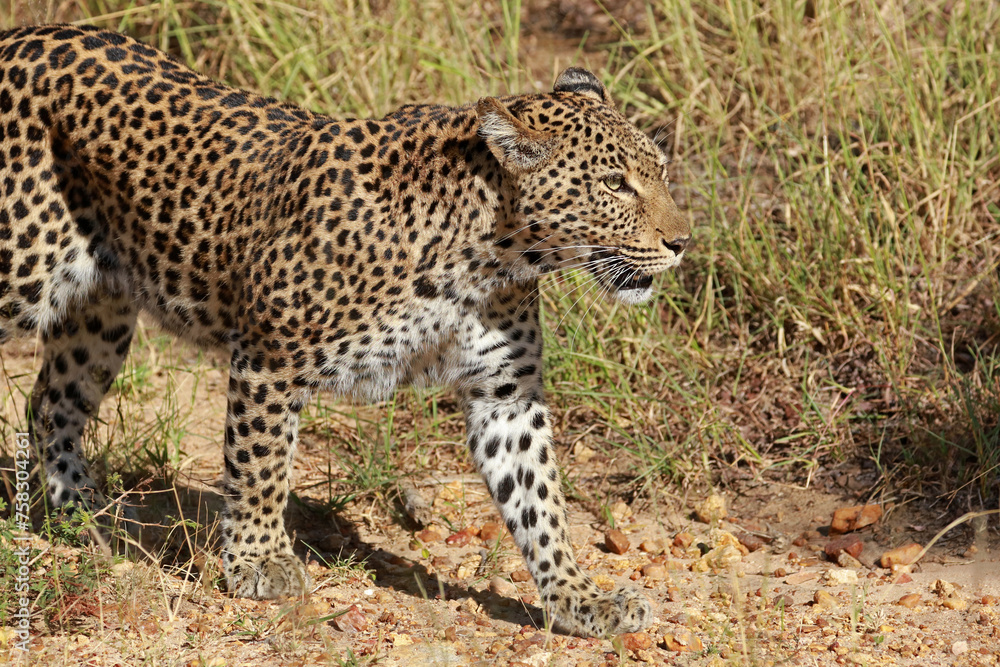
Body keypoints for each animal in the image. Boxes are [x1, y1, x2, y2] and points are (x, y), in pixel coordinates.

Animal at [0, 24, 690, 637]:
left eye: (660, 171)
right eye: (614, 184)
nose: (682, 241)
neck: (491, 255)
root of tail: (24, 34)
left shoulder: (506, 392)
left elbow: (540, 499)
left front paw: (579, 599)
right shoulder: (270, 356)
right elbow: (261, 464)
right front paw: (260, 562)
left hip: (101, 312)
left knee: (52, 401)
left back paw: (79, 514)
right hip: (21, 274)